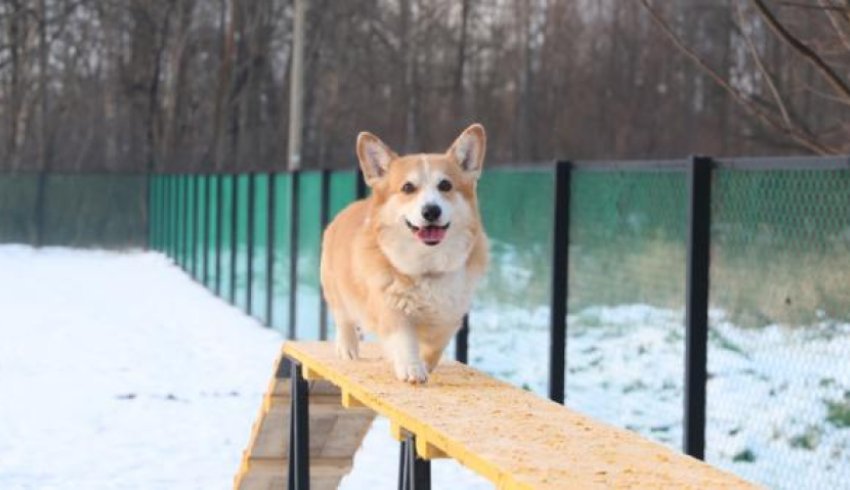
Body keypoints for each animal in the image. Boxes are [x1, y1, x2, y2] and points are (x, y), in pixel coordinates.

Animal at [320, 123, 490, 382]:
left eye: (445, 185)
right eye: (408, 187)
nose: (431, 211)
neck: (427, 263)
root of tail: (349, 208)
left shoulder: (451, 315)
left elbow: (436, 343)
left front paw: (426, 364)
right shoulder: (391, 310)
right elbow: (404, 339)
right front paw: (412, 368)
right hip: (335, 288)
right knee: (343, 317)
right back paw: (348, 347)